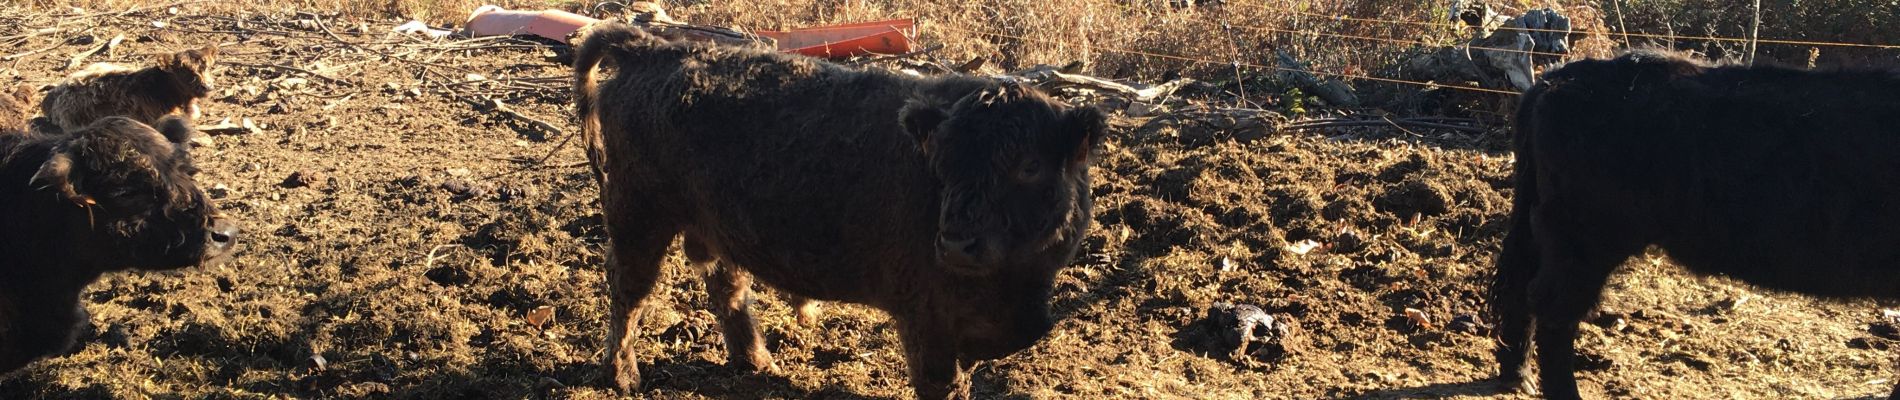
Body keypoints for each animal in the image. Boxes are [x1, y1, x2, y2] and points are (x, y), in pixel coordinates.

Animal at [570, 23, 1109, 398]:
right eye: (941, 162)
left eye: (1029, 166)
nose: (956, 243)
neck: (1016, 286)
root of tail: (652, 49)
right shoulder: (926, 317)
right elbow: (942, 381)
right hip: (637, 219)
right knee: (629, 293)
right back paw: (622, 377)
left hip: (713, 227)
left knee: (727, 287)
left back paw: (757, 362)